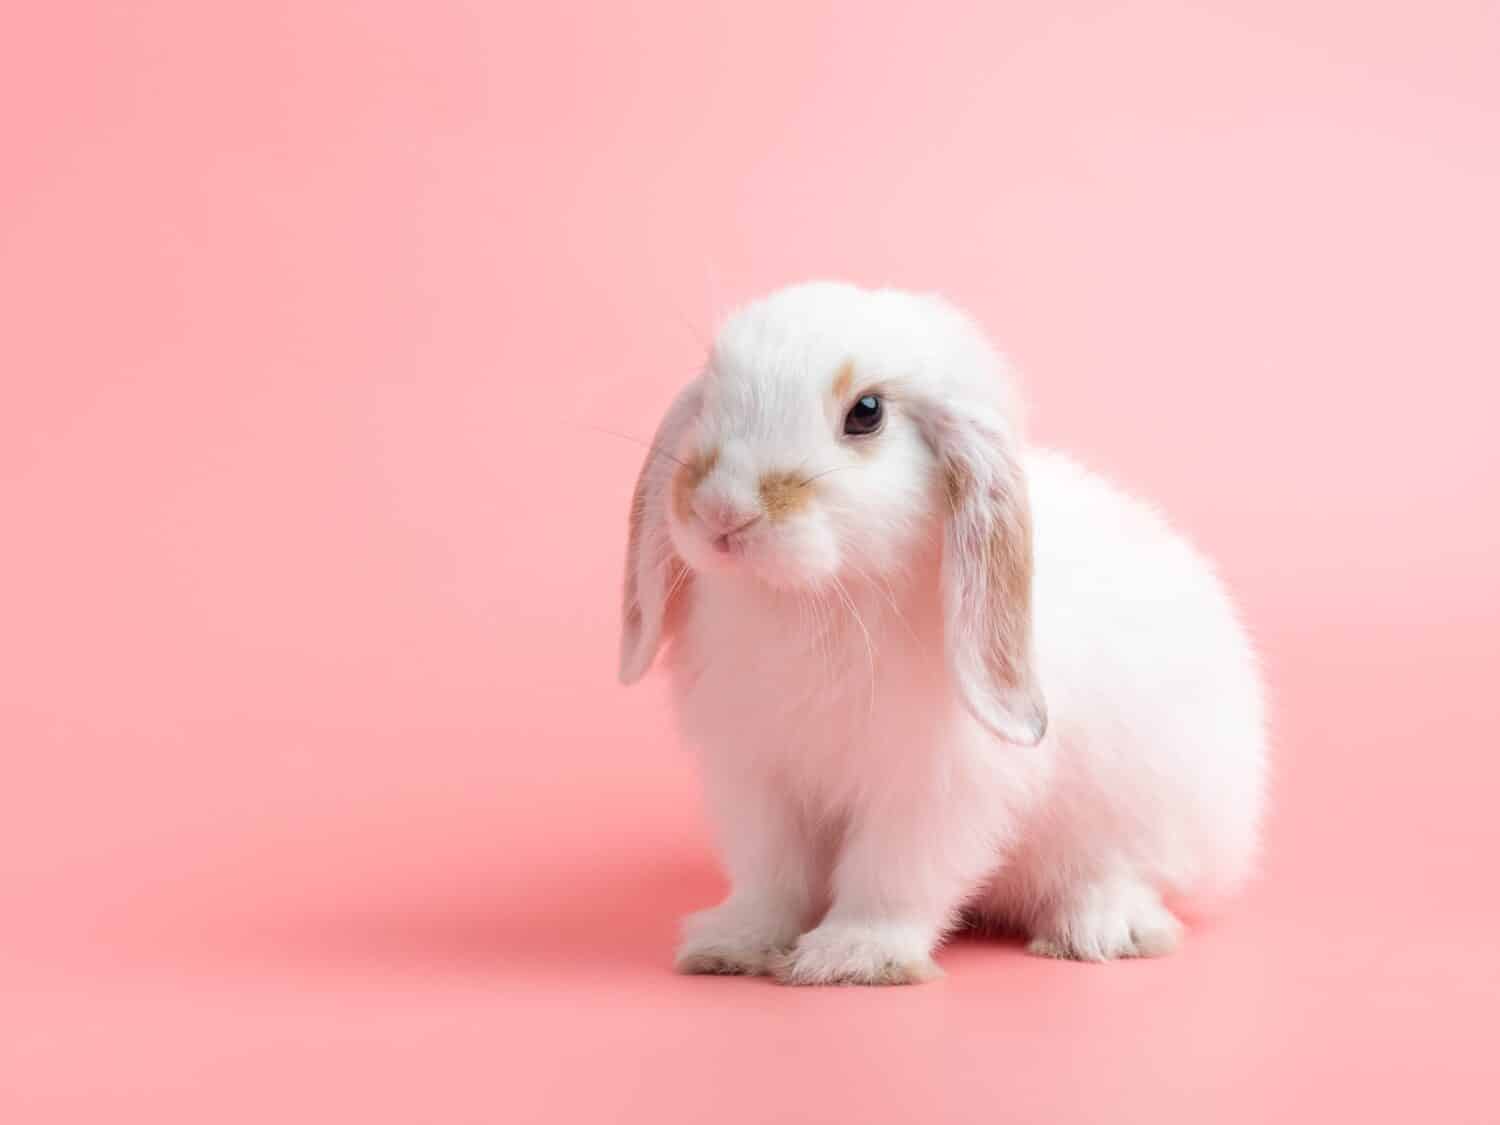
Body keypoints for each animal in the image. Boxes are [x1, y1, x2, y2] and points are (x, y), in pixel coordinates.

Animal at [618, 282, 1266, 984]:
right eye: (712, 393)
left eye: (866, 413)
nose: (721, 511)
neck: (813, 599)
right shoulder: (759, 780)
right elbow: (774, 880)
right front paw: (733, 944)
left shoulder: (932, 789)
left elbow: (891, 875)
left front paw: (854, 956)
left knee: (1122, 874)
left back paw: (1098, 930)